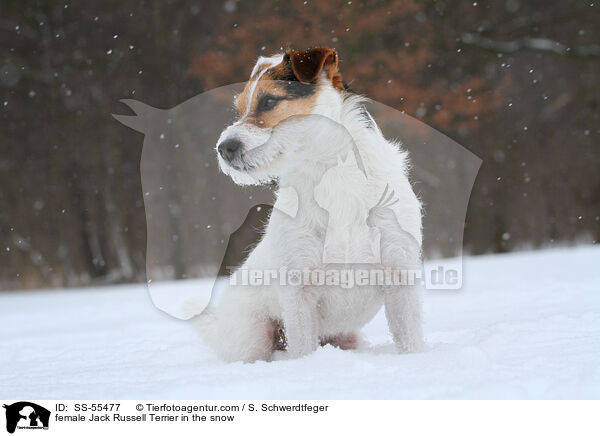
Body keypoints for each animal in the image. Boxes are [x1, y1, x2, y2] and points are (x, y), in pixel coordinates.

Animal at [195, 46, 424, 362]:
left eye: (269, 101)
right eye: (239, 109)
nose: (223, 148)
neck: (331, 174)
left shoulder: (399, 273)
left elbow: (410, 339)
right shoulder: (299, 290)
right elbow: (303, 348)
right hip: (254, 338)